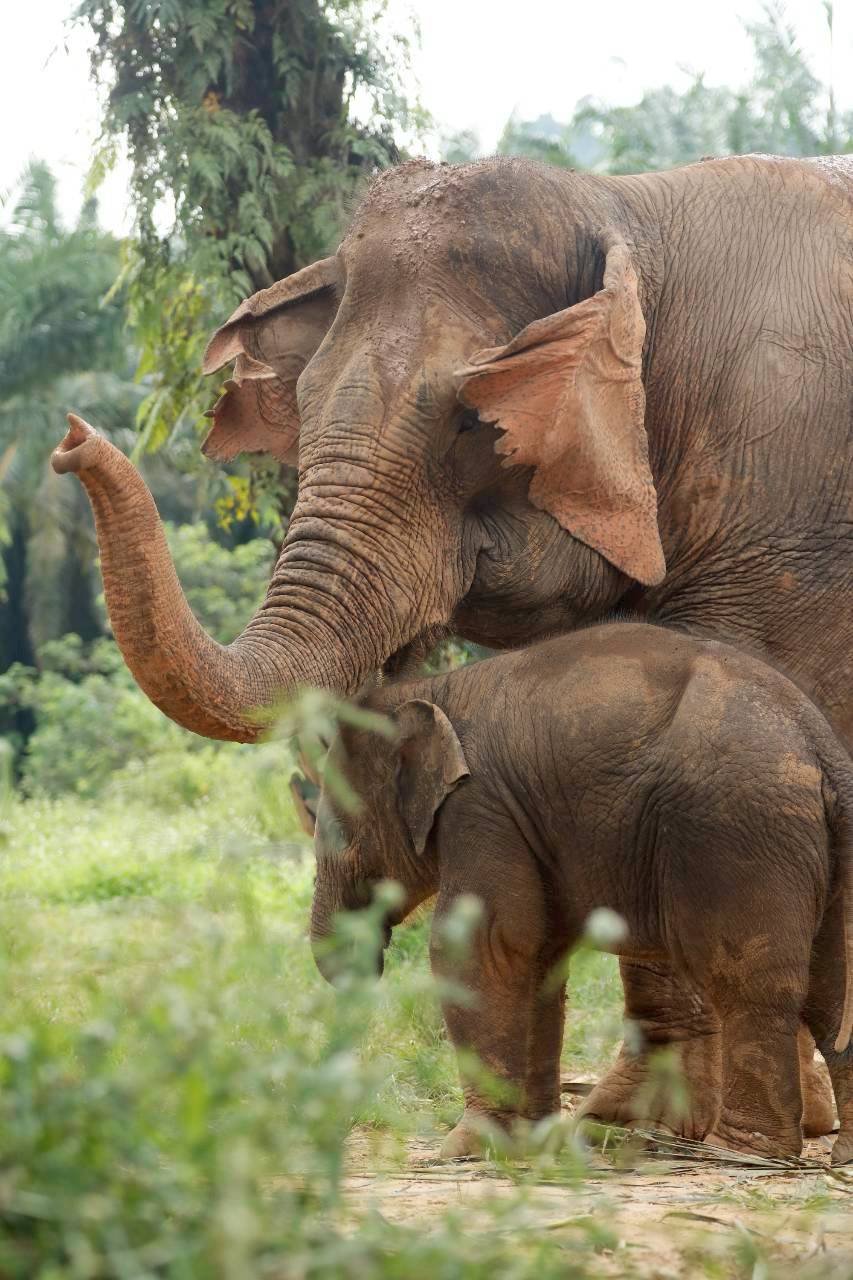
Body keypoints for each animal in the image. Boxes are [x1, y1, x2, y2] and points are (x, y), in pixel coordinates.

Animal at [309, 623, 853, 1163]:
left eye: (338, 833)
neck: (434, 689)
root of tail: (823, 749)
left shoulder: (480, 806)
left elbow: (482, 947)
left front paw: (465, 1148)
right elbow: (537, 955)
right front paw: (529, 1144)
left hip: (734, 835)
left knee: (747, 982)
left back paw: (741, 1153)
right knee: (828, 993)